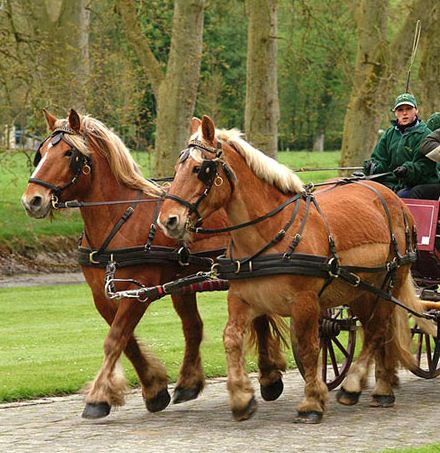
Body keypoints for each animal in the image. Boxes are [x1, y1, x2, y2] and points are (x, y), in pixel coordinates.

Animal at [159, 115, 434, 422]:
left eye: (200, 169)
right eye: (177, 168)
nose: (168, 220)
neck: (271, 233)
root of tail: (392, 197)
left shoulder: (305, 303)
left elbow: (308, 347)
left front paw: (311, 402)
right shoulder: (242, 299)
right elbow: (231, 338)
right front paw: (242, 397)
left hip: (389, 282)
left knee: (377, 330)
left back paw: (354, 385)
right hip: (361, 290)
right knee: (378, 330)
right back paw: (382, 389)